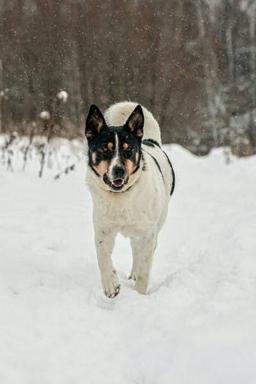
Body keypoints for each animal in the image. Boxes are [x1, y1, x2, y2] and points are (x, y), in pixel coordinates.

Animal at [85, 101, 175, 296]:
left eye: (128, 150)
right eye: (105, 149)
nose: (119, 170)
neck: (121, 197)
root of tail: (150, 141)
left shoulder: (148, 233)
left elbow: (144, 269)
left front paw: (140, 294)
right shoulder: (103, 229)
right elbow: (103, 256)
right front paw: (111, 284)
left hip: (156, 224)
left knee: (140, 252)